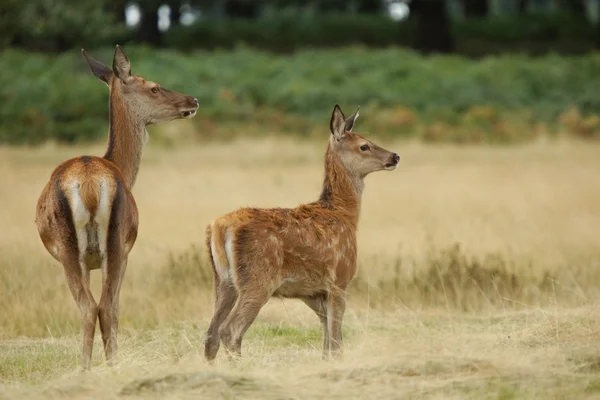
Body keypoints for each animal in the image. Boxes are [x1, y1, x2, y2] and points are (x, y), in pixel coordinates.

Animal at [35, 44, 199, 368]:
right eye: (154, 87)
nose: (193, 100)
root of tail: (89, 185)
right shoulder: (118, 251)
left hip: (84, 248)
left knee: (93, 308)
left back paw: (91, 369)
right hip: (114, 245)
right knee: (104, 307)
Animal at [204, 103, 400, 360]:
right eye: (364, 145)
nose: (395, 156)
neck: (344, 215)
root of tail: (220, 227)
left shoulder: (313, 292)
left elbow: (327, 340)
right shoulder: (340, 279)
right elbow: (336, 341)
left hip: (222, 280)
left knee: (211, 334)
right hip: (258, 277)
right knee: (230, 330)